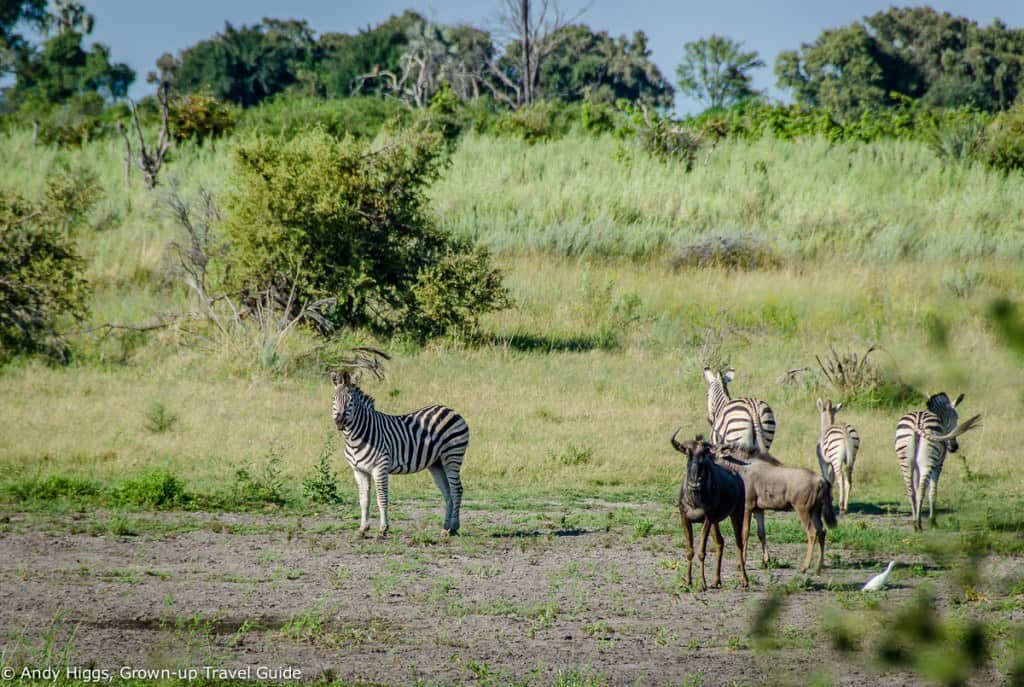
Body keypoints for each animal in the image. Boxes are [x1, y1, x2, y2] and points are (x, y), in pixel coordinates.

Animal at [331, 370, 469, 537]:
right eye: (333, 398)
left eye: (351, 400)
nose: (339, 421)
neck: (355, 438)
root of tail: (450, 410)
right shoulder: (358, 471)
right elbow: (364, 500)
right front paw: (363, 529)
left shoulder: (380, 467)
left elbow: (382, 498)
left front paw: (383, 528)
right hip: (436, 463)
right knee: (447, 492)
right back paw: (446, 528)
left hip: (452, 455)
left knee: (457, 490)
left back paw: (454, 527)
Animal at [702, 366, 777, 566]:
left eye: (707, 394)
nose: (709, 419)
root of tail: (753, 409)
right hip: (764, 443)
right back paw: (765, 556)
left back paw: (742, 555)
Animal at [895, 392, 982, 530]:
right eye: (957, 418)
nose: (954, 447)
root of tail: (918, 423)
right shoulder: (939, 464)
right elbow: (933, 491)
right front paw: (933, 521)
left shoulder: (916, 467)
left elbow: (916, 486)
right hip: (929, 460)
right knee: (922, 490)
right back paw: (919, 524)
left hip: (905, 461)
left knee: (911, 491)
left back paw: (915, 521)